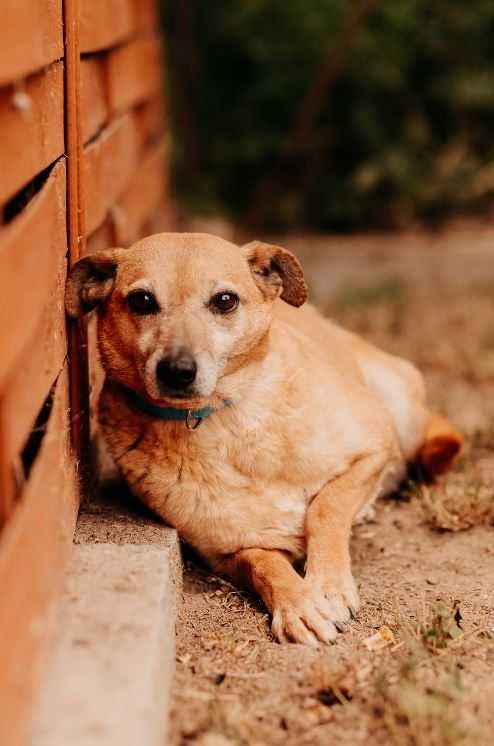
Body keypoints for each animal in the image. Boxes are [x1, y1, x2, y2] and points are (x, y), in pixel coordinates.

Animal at [65, 234, 464, 644]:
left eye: (225, 300)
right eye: (142, 301)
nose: (177, 371)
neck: (229, 421)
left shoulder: (374, 441)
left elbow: (326, 507)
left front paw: (326, 585)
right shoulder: (231, 552)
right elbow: (266, 565)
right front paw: (300, 605)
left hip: (401, 409)